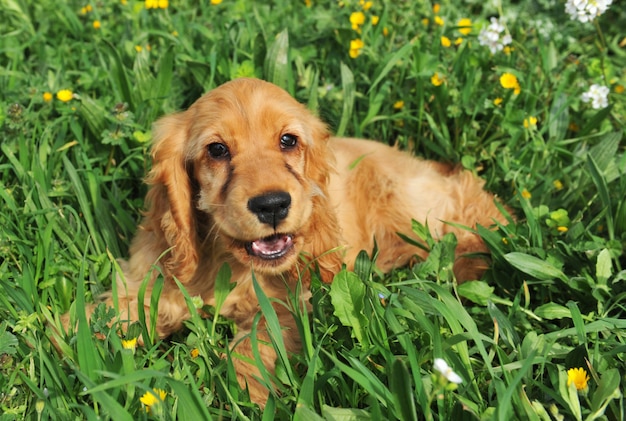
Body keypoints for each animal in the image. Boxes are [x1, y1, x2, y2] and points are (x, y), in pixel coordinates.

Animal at [62, 78, 508, 404]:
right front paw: (70, 342)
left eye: (288, 141)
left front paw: (248, 395)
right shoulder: (152, 273)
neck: (229, 261)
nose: (272, 205)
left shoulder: (292, 299)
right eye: (217, 149)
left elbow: (255, 345)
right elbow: (114, 309)